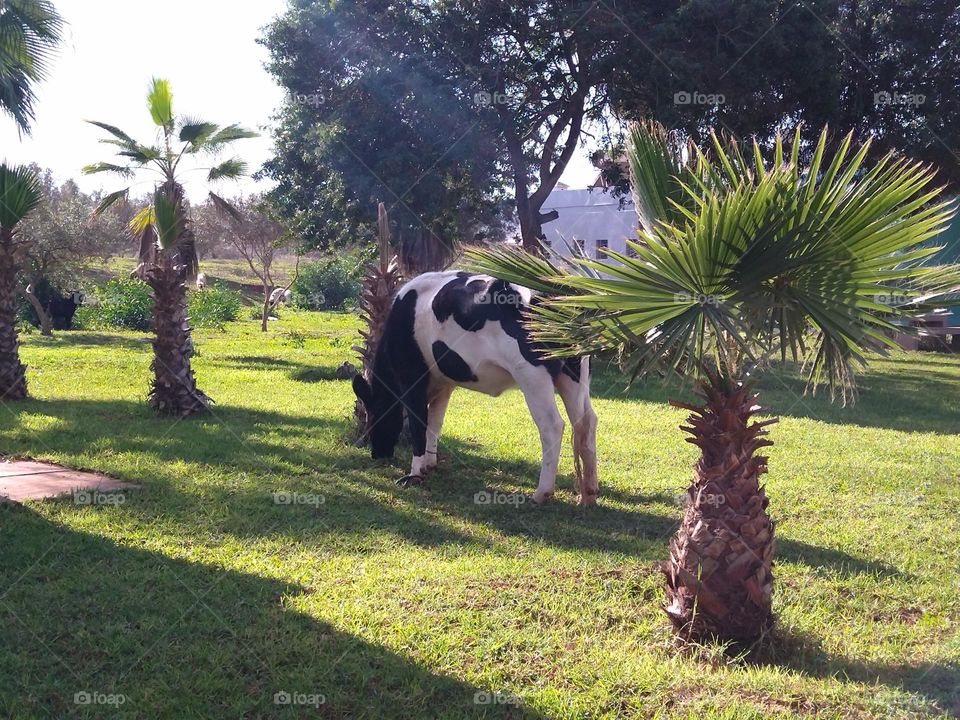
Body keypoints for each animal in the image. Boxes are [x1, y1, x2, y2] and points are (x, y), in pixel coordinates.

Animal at [348, 272, 596, 506]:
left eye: (373, 416)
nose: (377, 454)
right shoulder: (443, 385)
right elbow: (434, 424)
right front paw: (430, 464)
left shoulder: (412, 379)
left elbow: (420, 425)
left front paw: (414, 474)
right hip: (574, 373)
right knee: (586, 421)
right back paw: (589, 494)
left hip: (531, 374)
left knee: (552, 425)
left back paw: (541, 493)